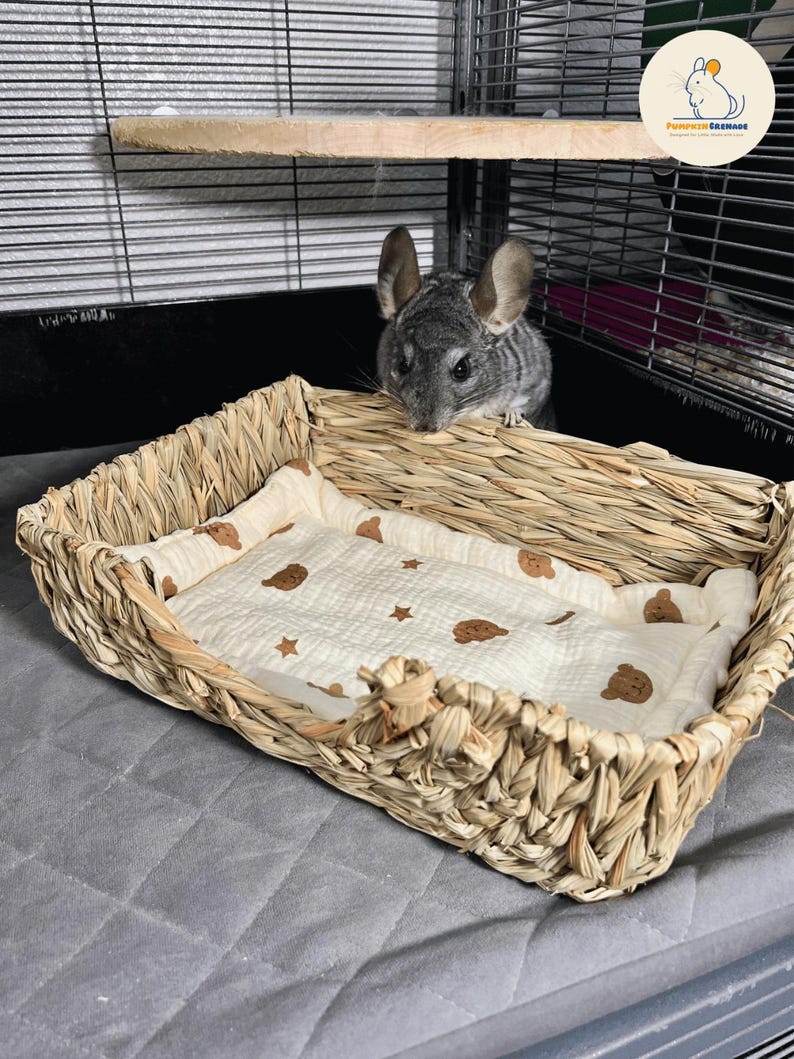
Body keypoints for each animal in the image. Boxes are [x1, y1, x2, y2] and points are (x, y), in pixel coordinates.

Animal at [375, 226, 555, 434]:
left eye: (462, 370)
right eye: (402, 365)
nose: (424, 427)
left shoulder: (536, 384)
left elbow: (522, 405)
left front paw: (512, 417)